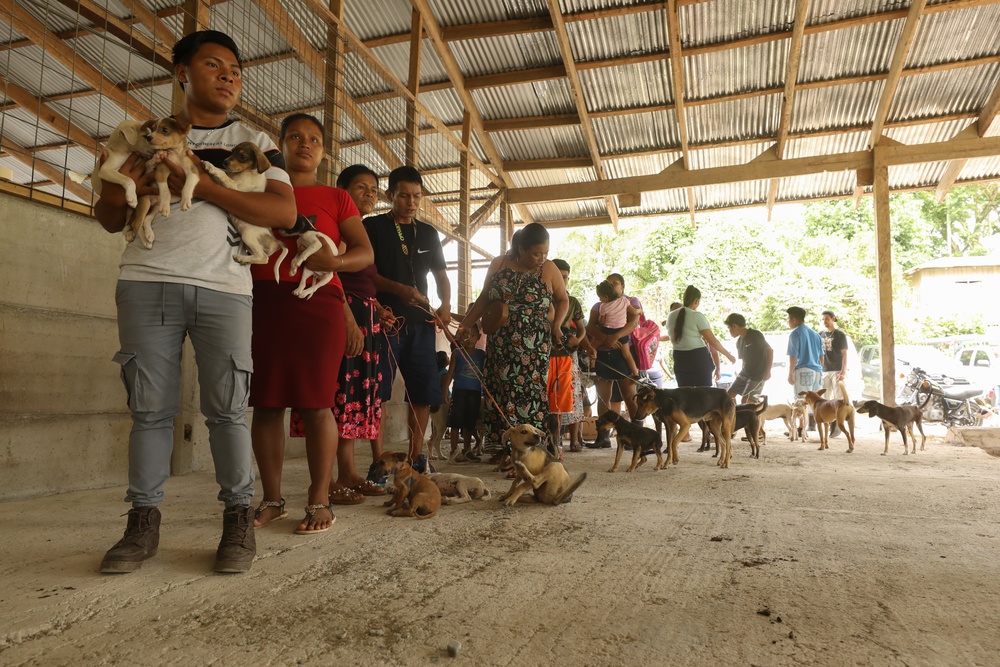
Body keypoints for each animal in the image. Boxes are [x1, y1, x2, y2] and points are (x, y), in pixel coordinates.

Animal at [129, 116, 199, 249]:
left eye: (165, 130)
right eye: (152, 129)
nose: (148, 137)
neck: (175, 154)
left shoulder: (193, 172)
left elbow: (187, 186)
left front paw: (185, 201)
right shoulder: (161, 173)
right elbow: (166, 191)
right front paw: (167, 207)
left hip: (156, 207)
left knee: (146, 219)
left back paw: (149, 234)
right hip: (145, 202)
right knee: (136, 223)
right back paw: (146, 241)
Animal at [199, 141, 286, 280]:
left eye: (243, 156)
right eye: (232, 152)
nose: (224, 162)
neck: (247, 172)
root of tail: (275, 241)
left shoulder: (235, 188)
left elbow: (223, 175)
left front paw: (210, 166)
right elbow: (225, 172)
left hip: (247, 235)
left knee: (263, 257)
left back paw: (241, 258)